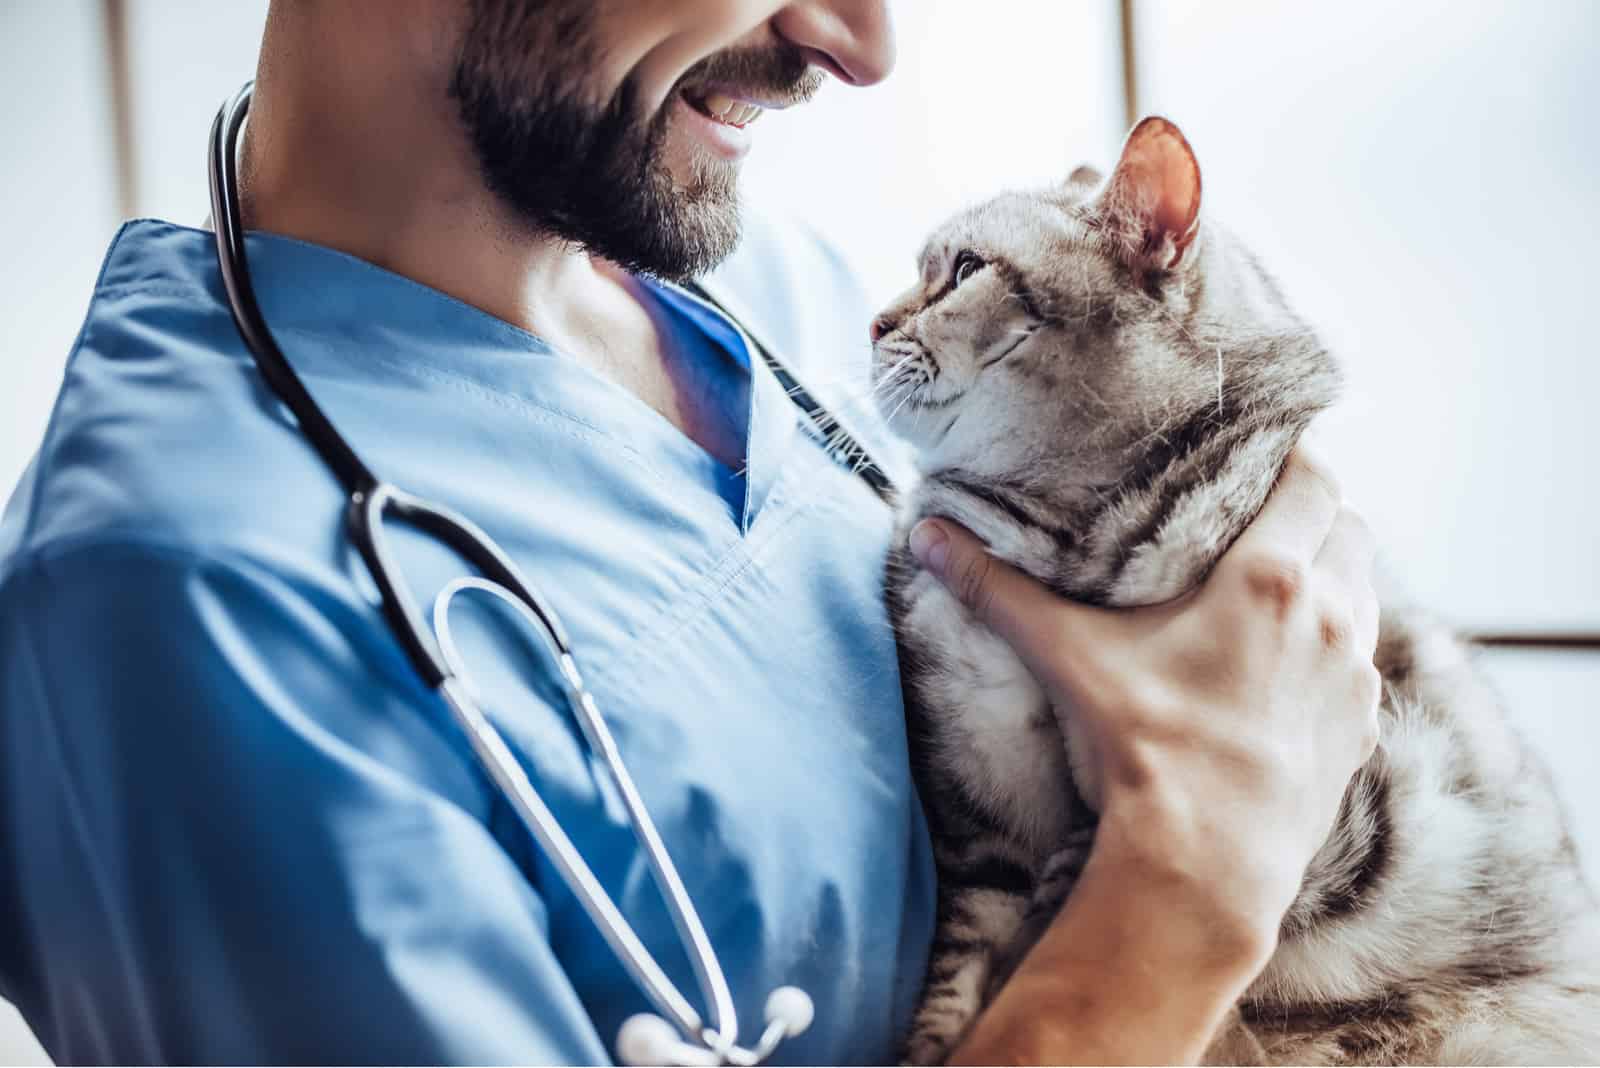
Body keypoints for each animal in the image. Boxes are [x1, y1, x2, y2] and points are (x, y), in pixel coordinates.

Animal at [876, 119, 1600, 1068]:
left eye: (963, 270)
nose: (874, 321)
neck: (1045, 536)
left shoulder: (1351, 803)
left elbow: (1067, 890)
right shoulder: (980, 816)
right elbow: (960, 968)